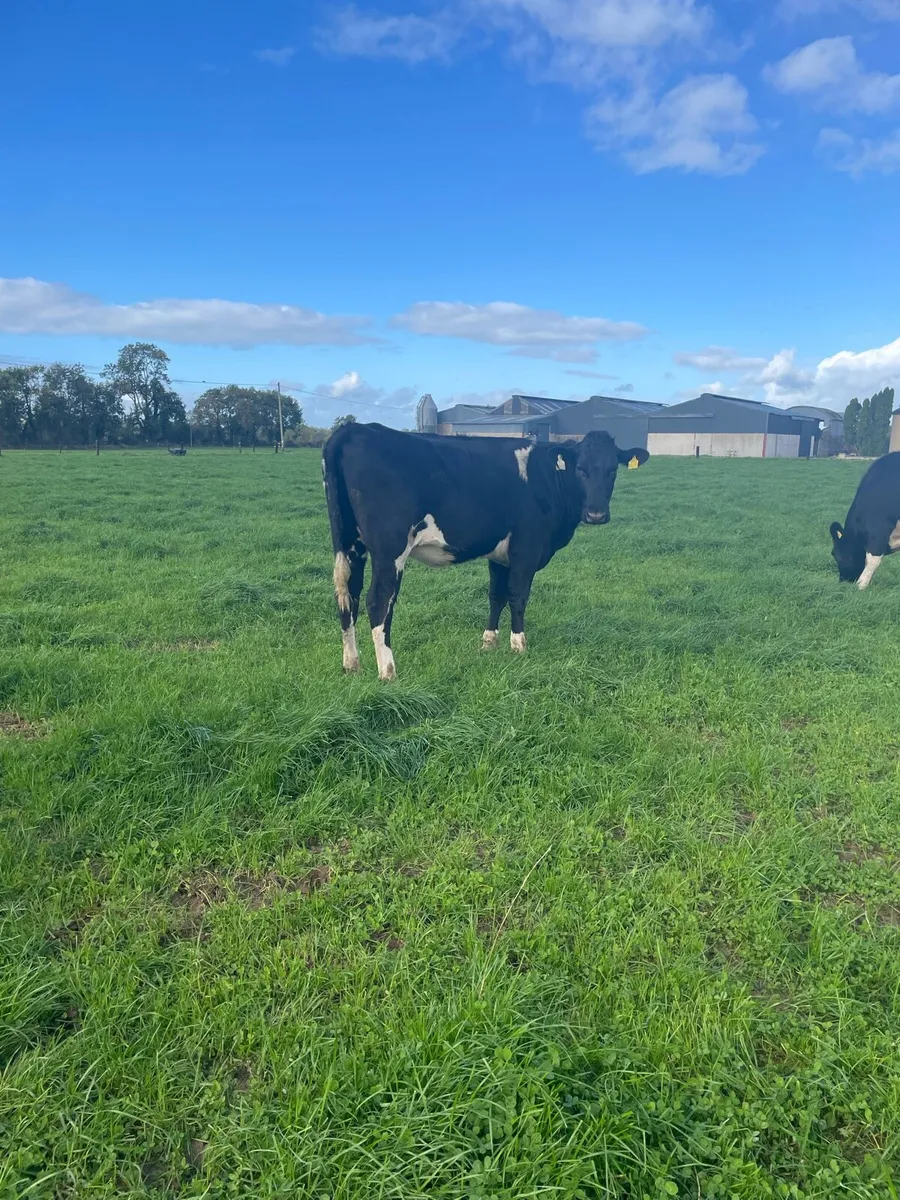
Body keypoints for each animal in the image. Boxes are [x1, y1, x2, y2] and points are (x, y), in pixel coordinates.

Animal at [322, 422, 649, 679]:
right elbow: (518, 596)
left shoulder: (500, 555)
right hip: (390, 550)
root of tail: (355, 428)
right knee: (378, 601)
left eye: (612, 471)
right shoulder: (527, 549)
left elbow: (496, 596)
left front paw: (489, 643)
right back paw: (387, 671)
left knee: (347, 595)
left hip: (351, 543)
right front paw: (519, 645)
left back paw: (352, 664)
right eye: (580, 470)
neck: (547, 478)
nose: (596, 514)